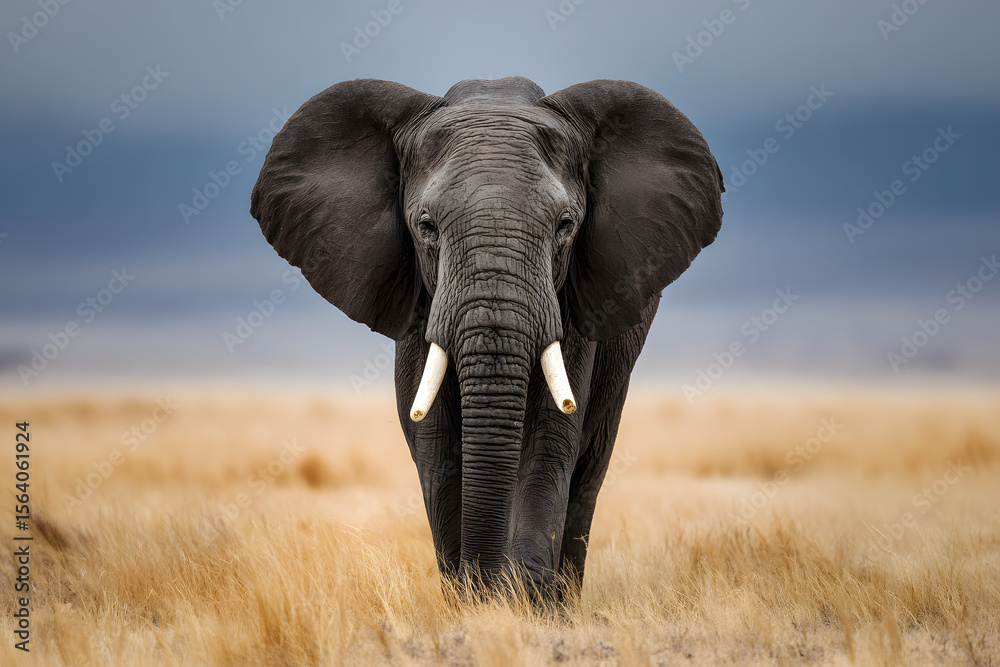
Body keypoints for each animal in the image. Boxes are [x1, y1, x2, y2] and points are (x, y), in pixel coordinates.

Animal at [250, 76, 724, 599]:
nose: (489, 583)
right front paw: (473, 601)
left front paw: (520, 602)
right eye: (426, 226)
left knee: (588, 471)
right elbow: (435, 444)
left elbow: (549, 439)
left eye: (566, 226)